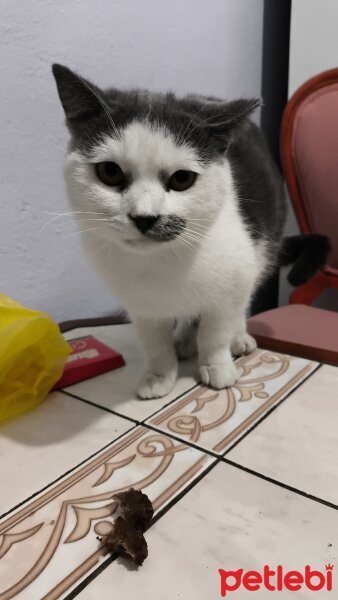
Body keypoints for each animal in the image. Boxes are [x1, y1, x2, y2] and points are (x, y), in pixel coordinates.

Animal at [52, 64, 330, 398]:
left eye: (182, 178)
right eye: (110, 172)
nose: (144, 217)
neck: (162, 262)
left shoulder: (233, 278)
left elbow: (216, 330)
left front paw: (217, 366)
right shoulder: (140, 305)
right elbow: (154, 342)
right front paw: (159, 375)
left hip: (262, 245)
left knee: (242, 301)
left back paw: (238, 338)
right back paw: (184, 340)